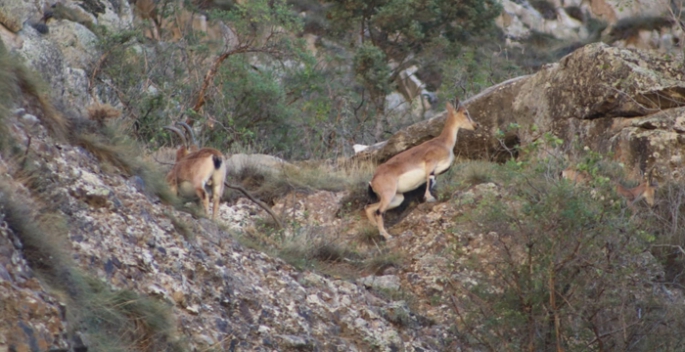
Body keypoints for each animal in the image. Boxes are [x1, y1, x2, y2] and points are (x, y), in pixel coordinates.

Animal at [366, 101, 478, 239]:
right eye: (465, 112)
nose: (476, 125)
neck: (443, 142)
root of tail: (373, 181)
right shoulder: (430, 163)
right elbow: (429, 181)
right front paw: (429, 198)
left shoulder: (436, 171)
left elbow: (431, 181)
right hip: (388, 195)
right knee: (378, 212)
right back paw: (387, 236)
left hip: (396, 198)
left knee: (369, 208)